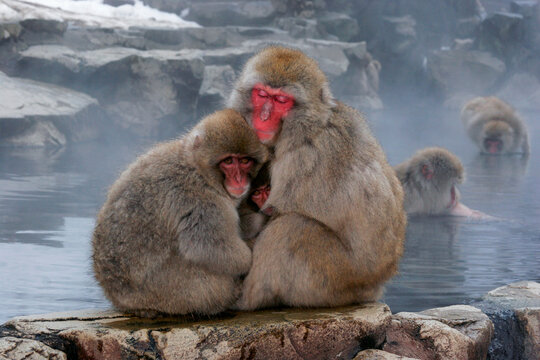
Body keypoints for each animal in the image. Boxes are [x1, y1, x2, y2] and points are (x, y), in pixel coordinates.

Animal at [94, 109, 270, 318]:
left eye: (244, 161)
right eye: (228, 161)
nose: (239, 179)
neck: (195, 166)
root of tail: (120, 299)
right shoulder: (201, 200)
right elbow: (211, 248)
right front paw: (249, 254)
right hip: (172, 292)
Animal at [226, 44, 408, 310]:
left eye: (281, 100)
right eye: (261, 94)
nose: (264, 117)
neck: (308, 127)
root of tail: (374, 286)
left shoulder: (302, 159)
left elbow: (272, 214)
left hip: (331, 279)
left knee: (291, 229)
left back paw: (245, 299)